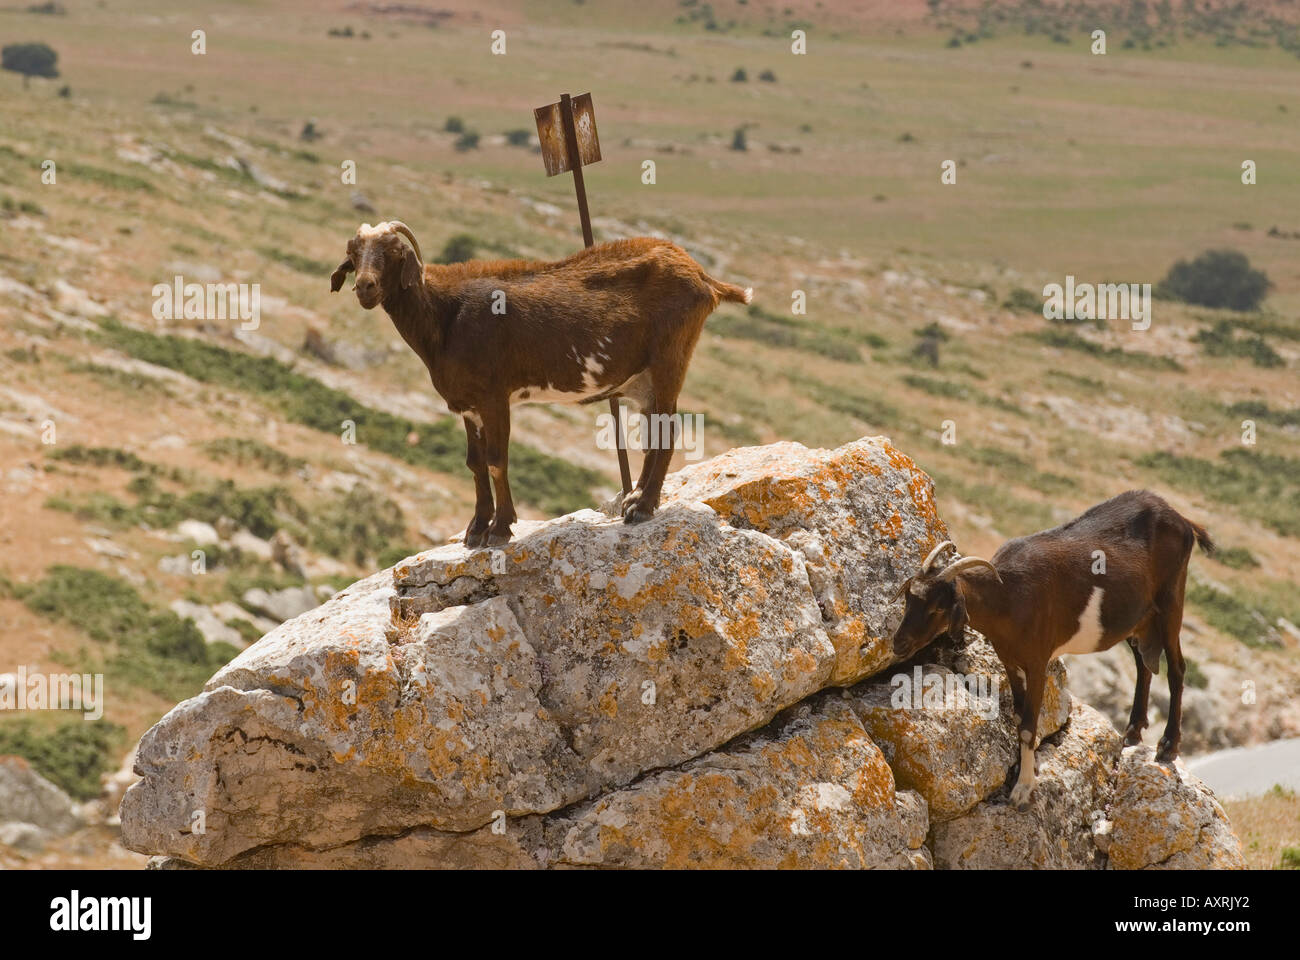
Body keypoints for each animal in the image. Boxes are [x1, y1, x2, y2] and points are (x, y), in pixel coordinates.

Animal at [330, 220, 752, 547]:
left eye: (393, 252)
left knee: (666, 432)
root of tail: (703, 277)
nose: (365, 287)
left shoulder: (494, 396)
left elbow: (497, 460)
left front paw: (500, 528)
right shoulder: (467, 404)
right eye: (353, 253)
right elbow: (474, 463)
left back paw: (643, 508)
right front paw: (475, 529)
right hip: (644, 378)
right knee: (654, 432)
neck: (445, 314)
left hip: (669, 359)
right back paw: (634, 500)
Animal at [890, 490, 1213, 809]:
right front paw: (1027, 772)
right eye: (908, 598)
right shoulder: (1009, 660)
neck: (1007, 595)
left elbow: (1028, 725)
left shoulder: (1038, 661)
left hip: (1171, 603)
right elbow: (1019, 717)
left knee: (1177, 668)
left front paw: (1023, 791)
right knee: (1143, 667)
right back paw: (1132, 732)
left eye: (937, 608)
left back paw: (1168, 746)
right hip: (1138, 619)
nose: (898, 643)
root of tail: (1182, 520)